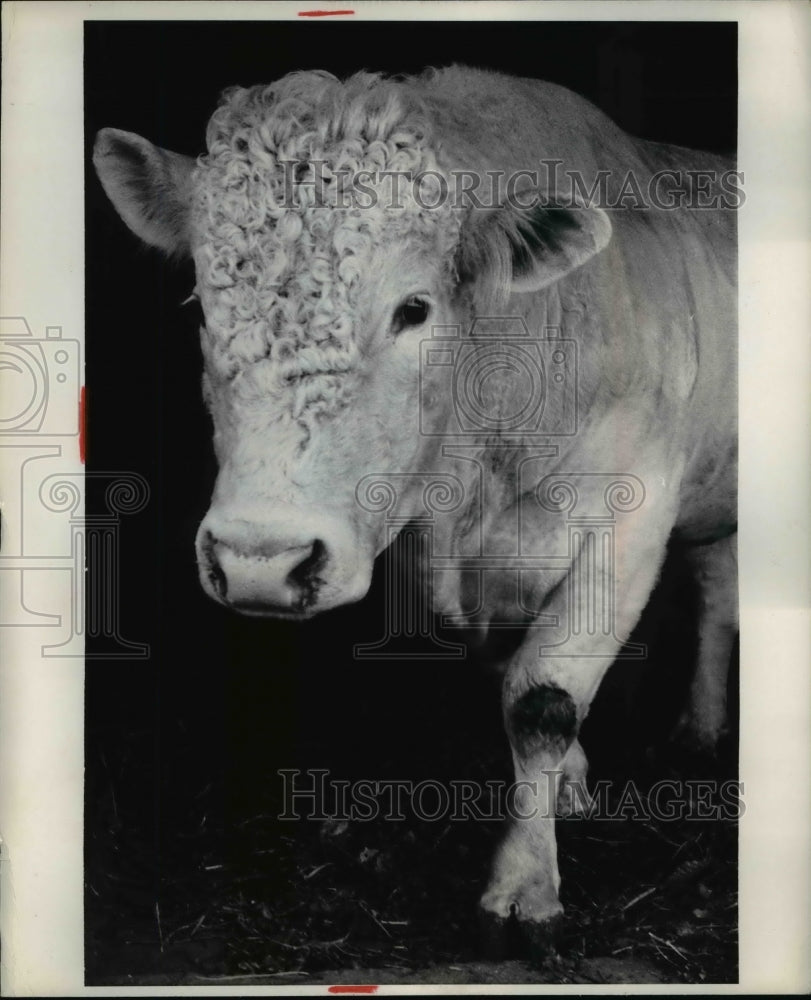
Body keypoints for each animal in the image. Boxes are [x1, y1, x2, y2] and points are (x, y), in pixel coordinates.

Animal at [93, 66, 736, 948]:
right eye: (202, 307)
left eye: (413, 310)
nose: (259, 561)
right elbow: (512, 674)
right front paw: (567, 786)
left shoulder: (629, 518)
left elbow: (543, 697)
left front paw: (524, 887)